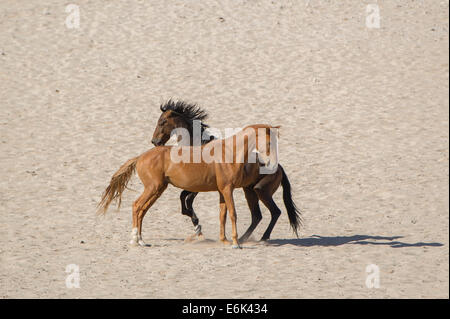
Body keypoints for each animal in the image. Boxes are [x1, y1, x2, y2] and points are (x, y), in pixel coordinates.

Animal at [97, 121, 282, 249]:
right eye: (269, 143)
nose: (271, 164)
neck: (229, 153)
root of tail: (141, 157)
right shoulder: (227, 189)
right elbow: (232, 214)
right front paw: (236, 243)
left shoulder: (222, 191)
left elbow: (222, 215)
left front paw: (224, 240)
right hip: (153, 188)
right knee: (136, 206)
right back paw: (135, 239)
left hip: (157, 190)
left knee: (142, 210)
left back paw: (141, 241)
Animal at [151, 100, 302, 242]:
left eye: (162, 122)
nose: (155, 142)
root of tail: (279, 167)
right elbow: (183, 200)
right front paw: (196, 225)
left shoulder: (198, 186)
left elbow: (186, 200)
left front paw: (197, 226)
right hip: (249, 190)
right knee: (257, 216)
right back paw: (243, 238)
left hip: (261, 191)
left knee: (275, 212)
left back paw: (262, 237)